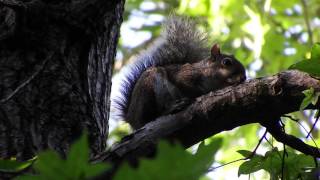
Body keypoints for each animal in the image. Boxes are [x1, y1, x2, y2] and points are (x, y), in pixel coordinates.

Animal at [114, 16, 246, 129]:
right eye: (227, 62)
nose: (243, 77)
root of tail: (131, 119)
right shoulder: (186, 74)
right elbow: (185, 83)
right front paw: (199, 94)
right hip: (150, 87)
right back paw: (173, 107)